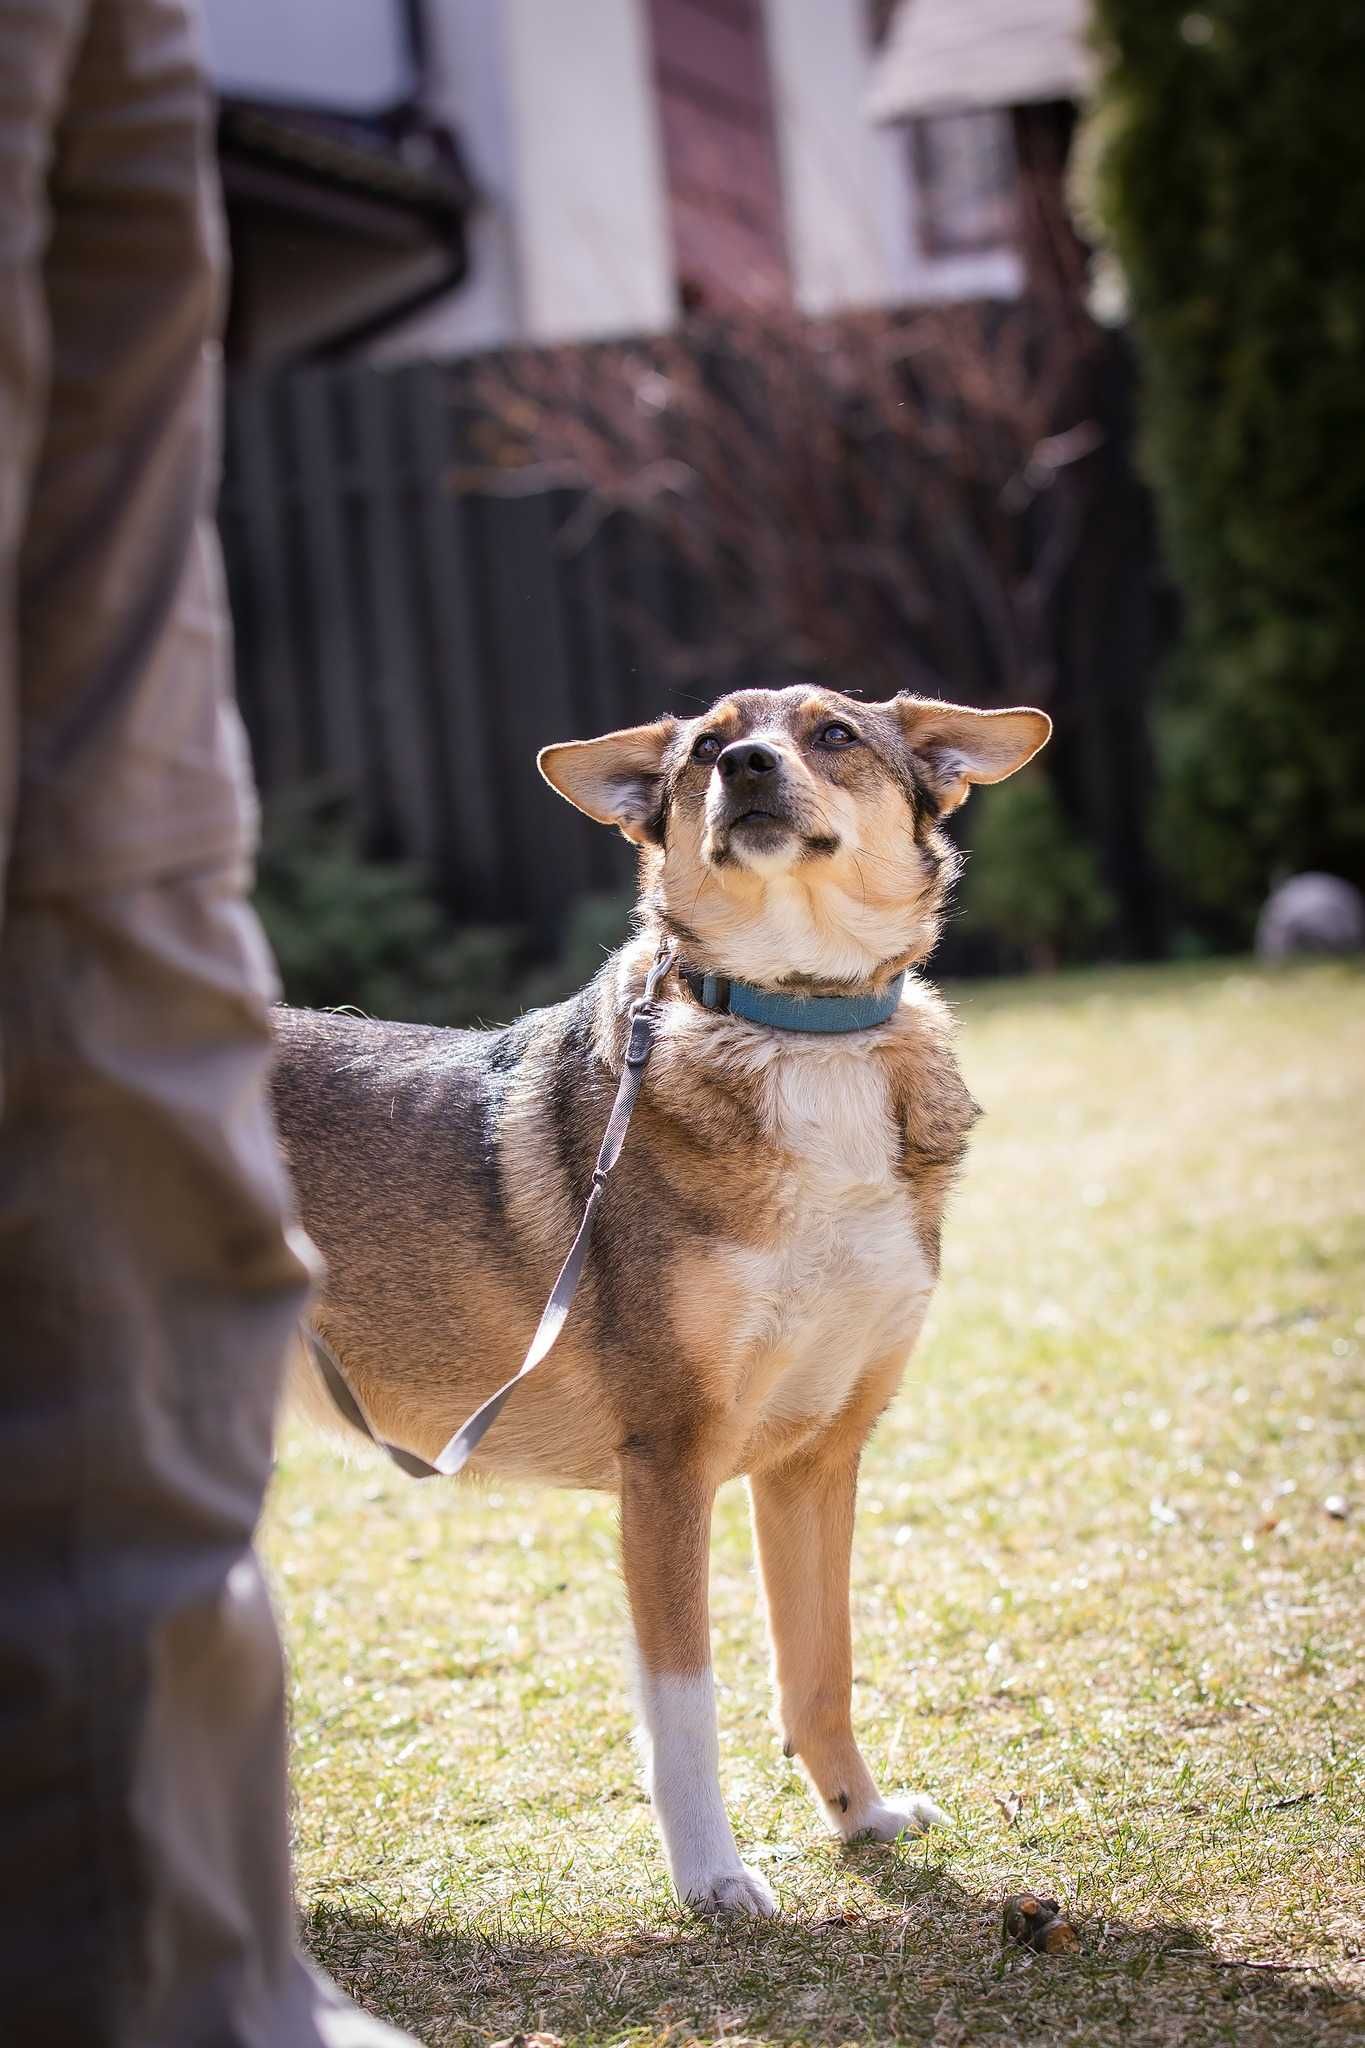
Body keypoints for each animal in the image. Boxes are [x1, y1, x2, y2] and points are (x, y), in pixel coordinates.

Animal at [272, 688, 1055, 1916]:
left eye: (833, 733)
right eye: (706, 746)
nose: (746, 766)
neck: (798, 1026)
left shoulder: (818, 1458)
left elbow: (820, 1669)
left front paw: (862, 1819)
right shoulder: (669, 1461)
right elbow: (685, 1702)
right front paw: (712, 1878)